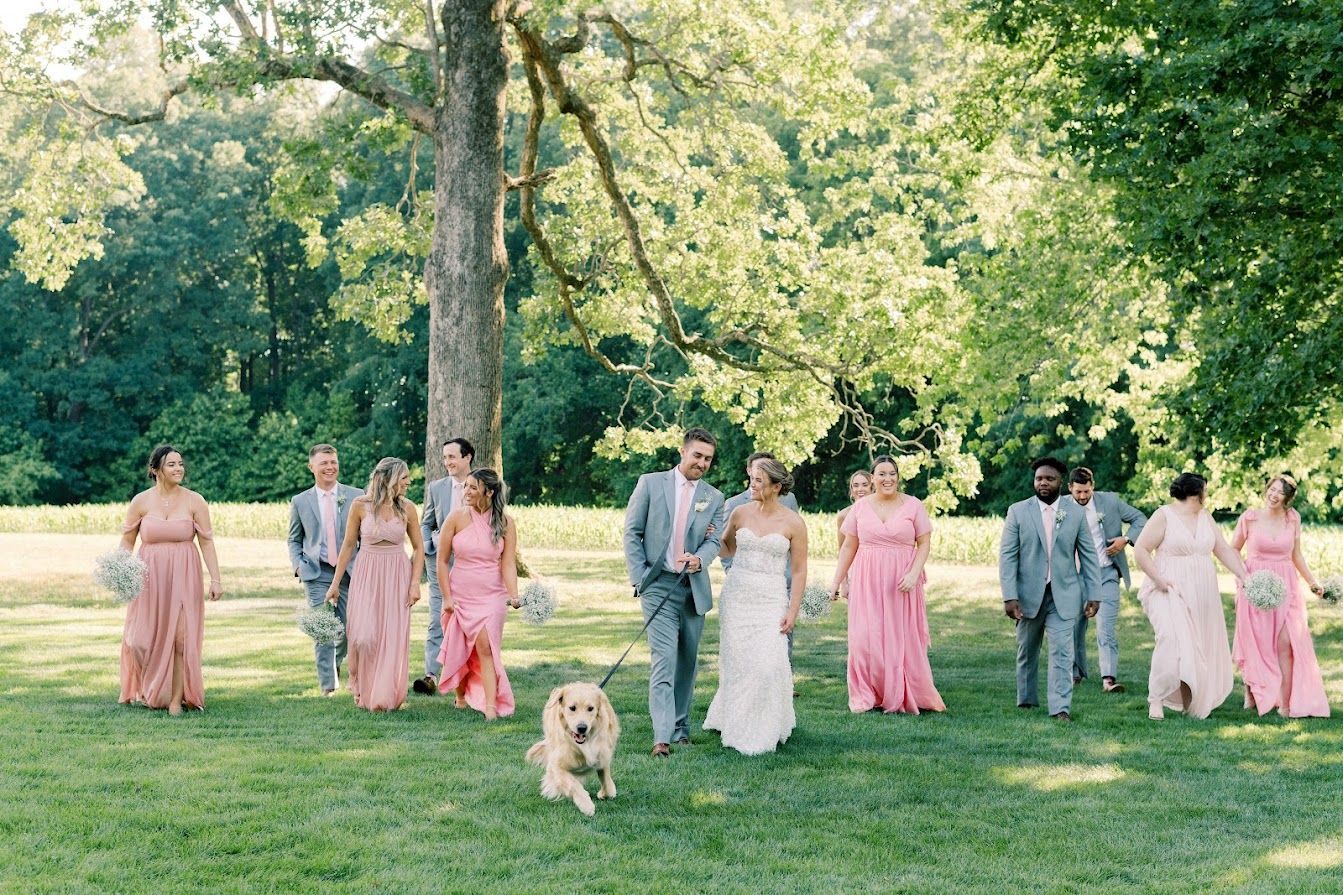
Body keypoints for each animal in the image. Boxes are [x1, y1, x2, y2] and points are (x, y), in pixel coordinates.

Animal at [529, 679, 623, 811]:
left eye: (590, 708)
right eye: (572, 708)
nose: (582, 728)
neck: (584, 744)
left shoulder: (603, 755)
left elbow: (607, 782)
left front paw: (604, 793)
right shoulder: (556, 765)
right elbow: (573, 784)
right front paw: (586, 805)